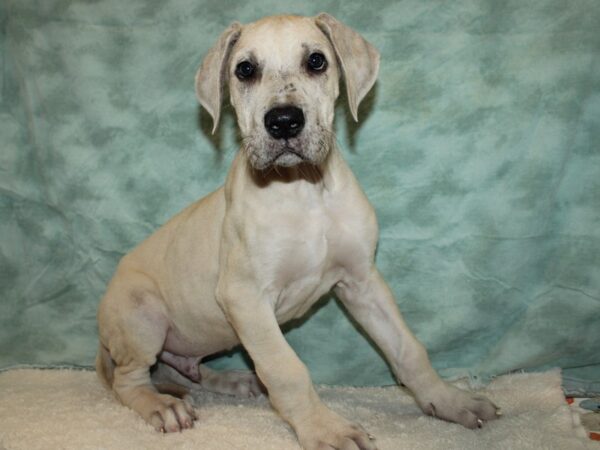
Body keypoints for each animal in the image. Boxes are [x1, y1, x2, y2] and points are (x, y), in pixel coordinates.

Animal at [97, 12, 502, 448]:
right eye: (245, 70)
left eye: (316, 61)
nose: (284, 122)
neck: (304, 190)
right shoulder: (246, 297)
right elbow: (286, 369)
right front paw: (326, 428)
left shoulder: (362, 282)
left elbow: (408, 349)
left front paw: (448, 401)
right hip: (142, 314)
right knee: (129, 381)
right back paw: (161, 406)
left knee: (184, 371)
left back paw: (232, 380)